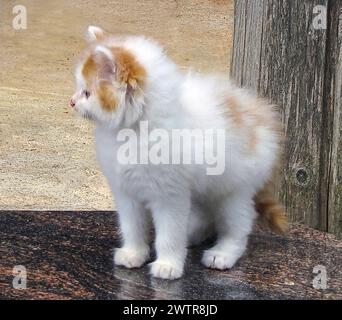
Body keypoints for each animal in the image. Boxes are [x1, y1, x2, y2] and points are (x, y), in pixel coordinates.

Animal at [69, 26, 286, 278]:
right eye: (79, 89)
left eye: (87, 93)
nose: (71, 102)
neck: (135, 132)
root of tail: (261, 114)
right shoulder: (127, 192)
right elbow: (132, 227)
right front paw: (134, 253)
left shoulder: (170, 195)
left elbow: (170, 234)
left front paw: (168, 264)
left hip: (233, 190)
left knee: (239, 223)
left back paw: (223, 253)